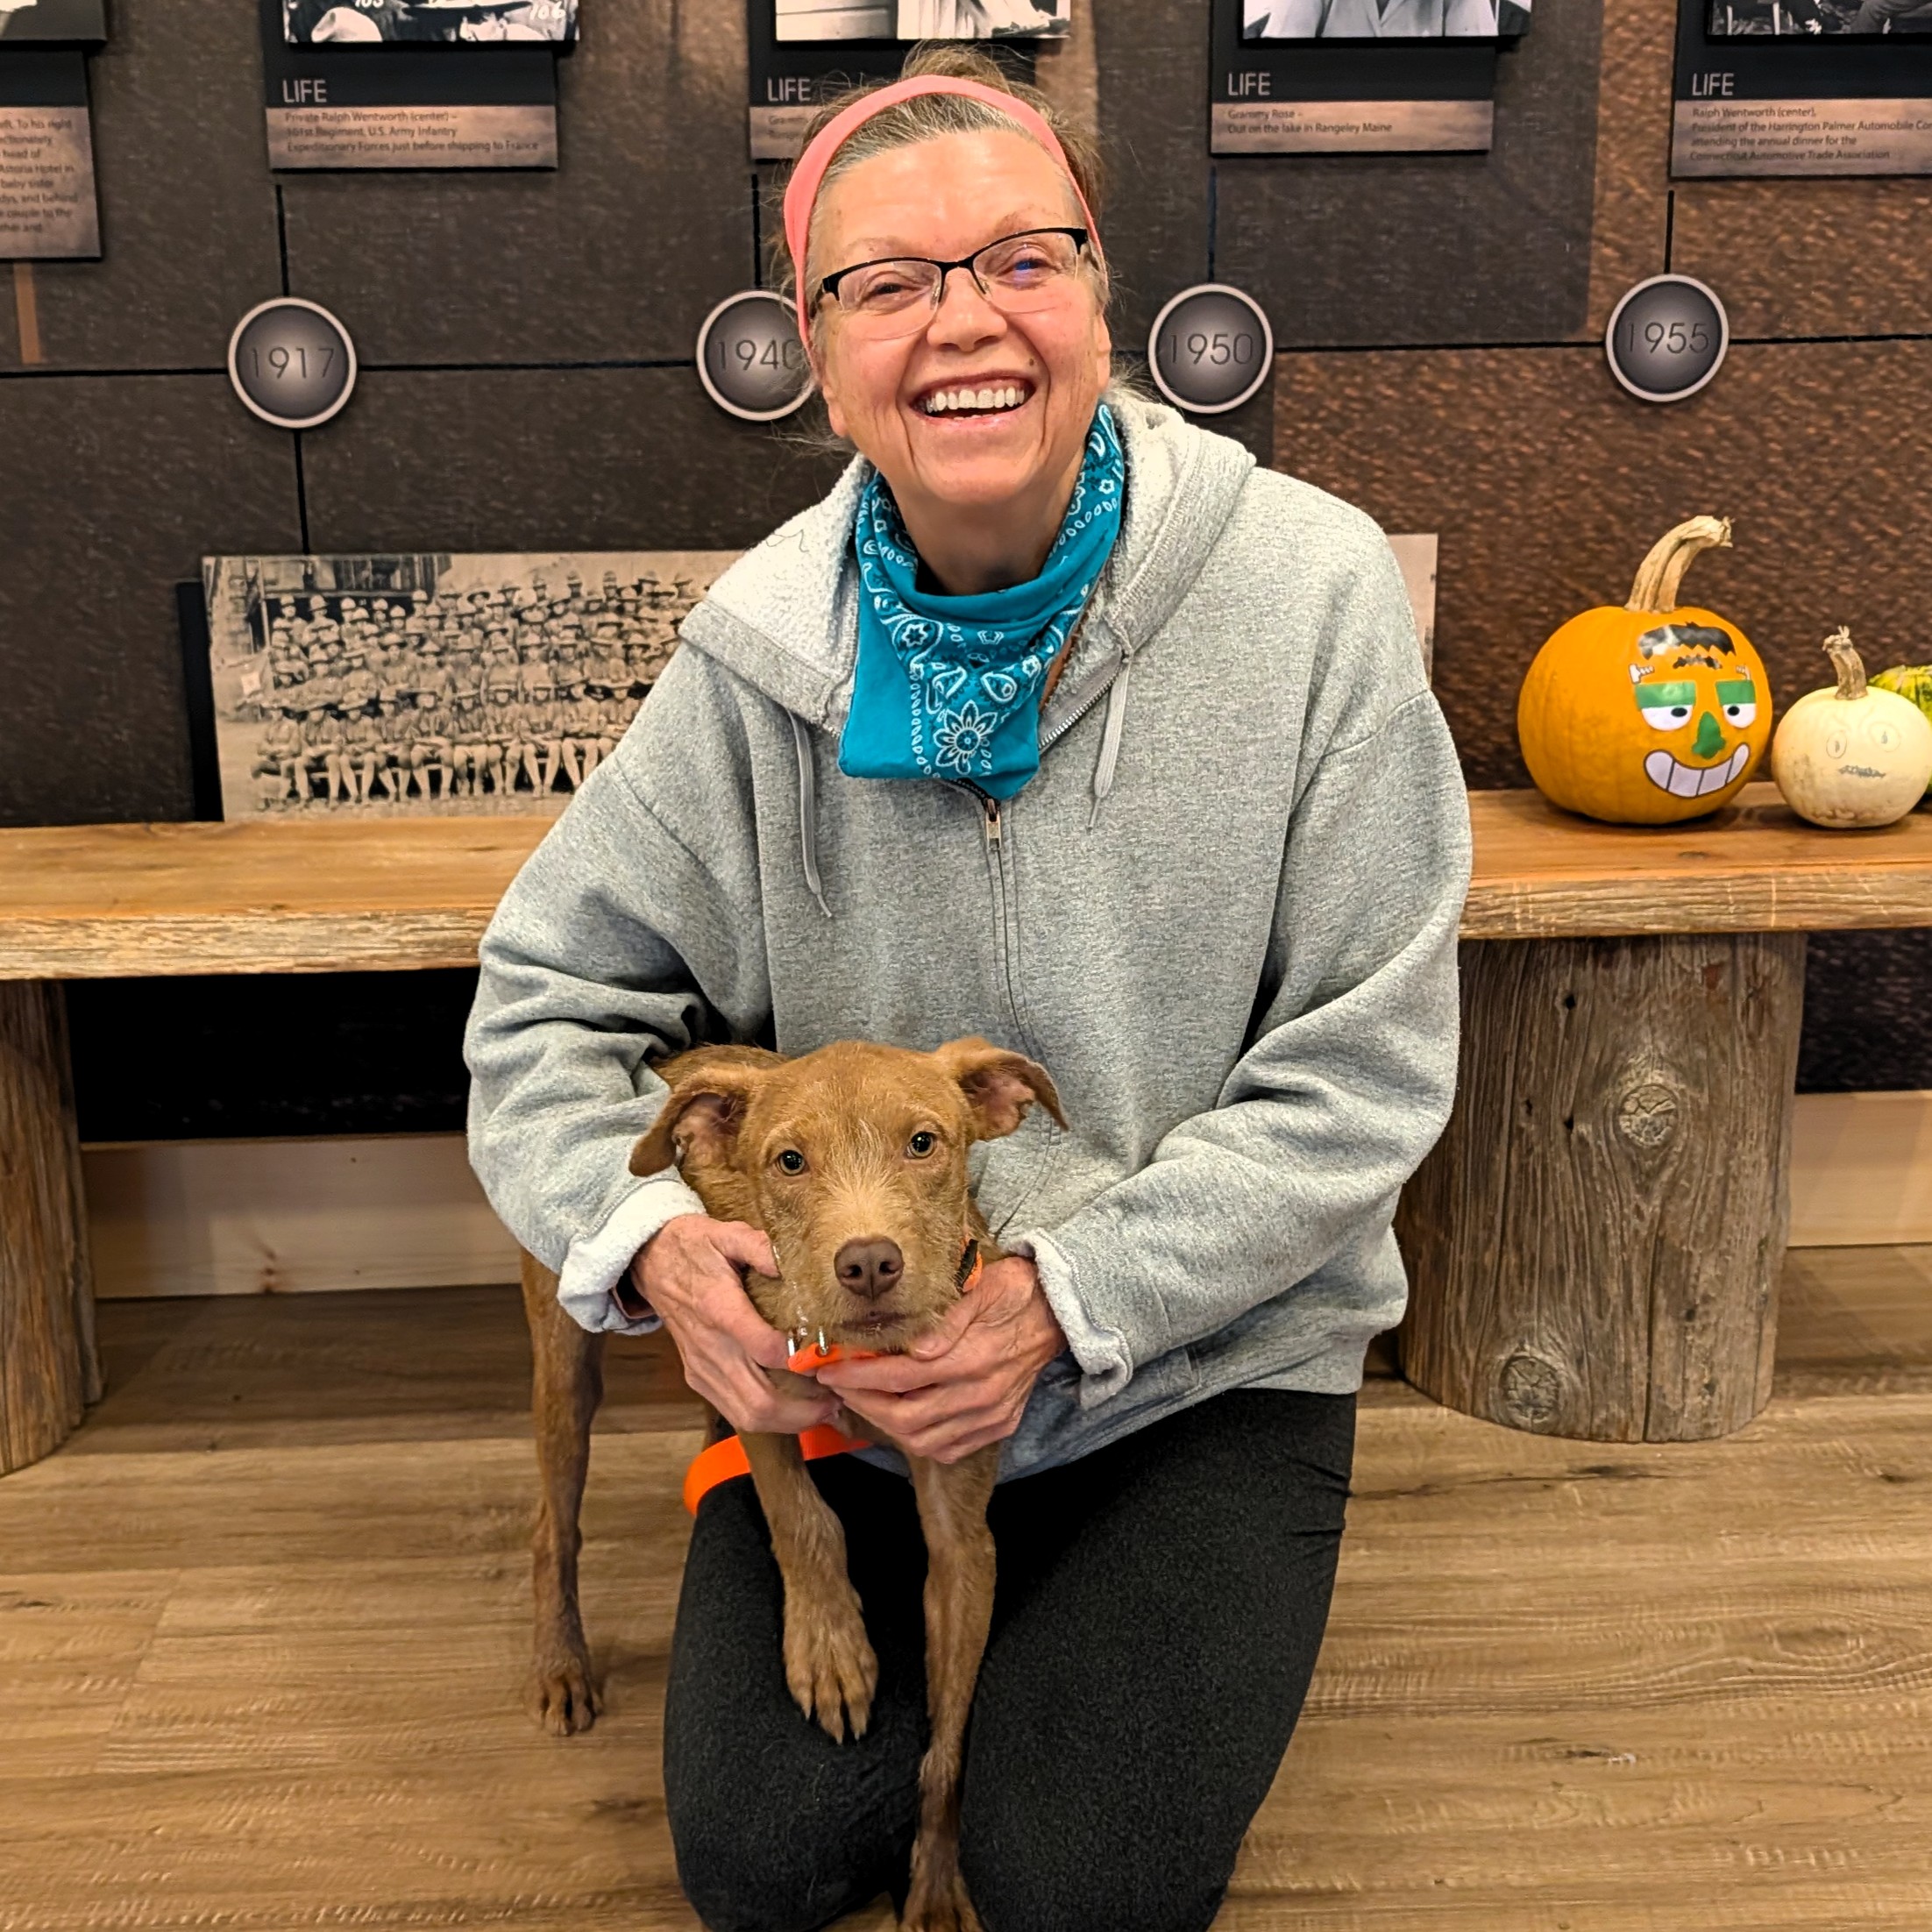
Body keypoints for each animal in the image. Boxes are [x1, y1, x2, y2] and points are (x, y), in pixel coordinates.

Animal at [521, 1033, 1066, 1932]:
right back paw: (561, 1664)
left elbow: (949, 1746)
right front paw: (831, 1648)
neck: (863, 1354)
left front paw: (935, 1882)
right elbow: (803, 1520)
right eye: (789, 1162)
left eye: (924, 1143)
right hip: (566, 1357)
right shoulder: (755, 1381)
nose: (869, 1264)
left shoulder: (963, 1539)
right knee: (551, 1524)